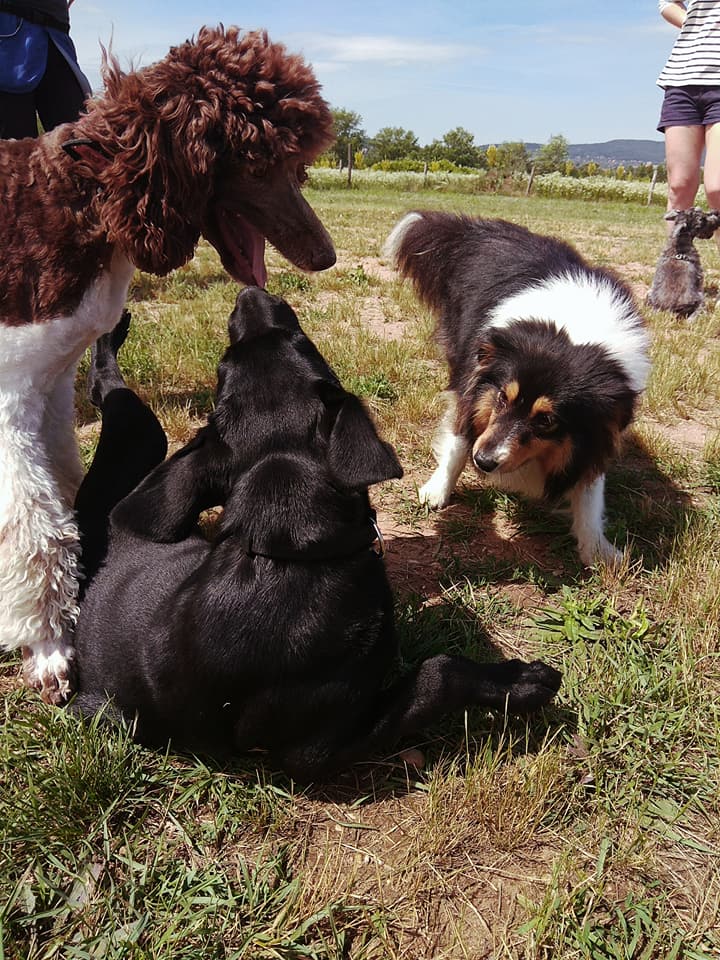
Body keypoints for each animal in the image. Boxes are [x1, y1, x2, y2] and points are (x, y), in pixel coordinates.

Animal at [0, 26, 337, 703]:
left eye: (298, 162)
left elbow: (61, 487)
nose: (326, 255)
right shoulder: (11, 393)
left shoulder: (52, 381)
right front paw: (48, 648)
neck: (79, 198)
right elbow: (33, 527)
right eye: (258, 163)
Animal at [70, 288, 561, 779]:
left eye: (224, 366)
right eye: (303, 343)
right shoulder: (315, 752)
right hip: (144, 433)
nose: (248, 294)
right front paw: (521, 681)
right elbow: (436, 674)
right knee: (109, 388)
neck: (285, 556)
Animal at [384, 211, 650, 566]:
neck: (570, 330)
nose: (483, 462)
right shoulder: (473, 387)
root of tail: (482, 228)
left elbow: (589, 492)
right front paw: (437, 490)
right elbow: (458, 443)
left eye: (546, 420)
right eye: (501, 397)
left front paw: (599, 551)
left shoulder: (599, 433)